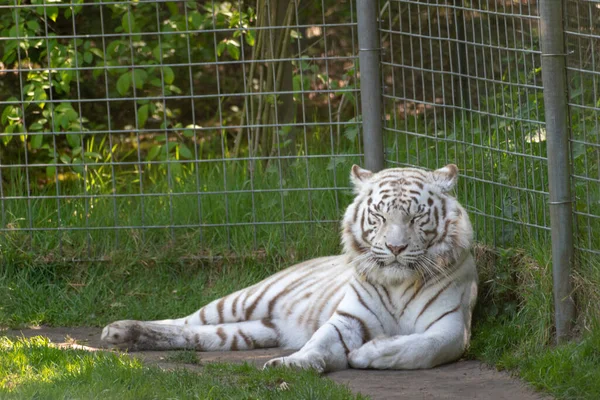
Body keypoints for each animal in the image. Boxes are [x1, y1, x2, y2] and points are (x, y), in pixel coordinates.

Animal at [103, 164, 478, 374]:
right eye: (380, 216)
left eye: (415, 217)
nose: (395, 248)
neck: (398, 283)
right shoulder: (348, 319)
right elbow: (320, 343)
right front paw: (293, 364)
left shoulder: (450, 329)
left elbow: (418, 348)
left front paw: (367, 354)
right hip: (241, 300)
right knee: (182, 320)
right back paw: (117, 330)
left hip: (248, 332)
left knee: (196, 335)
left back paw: (127, 336)